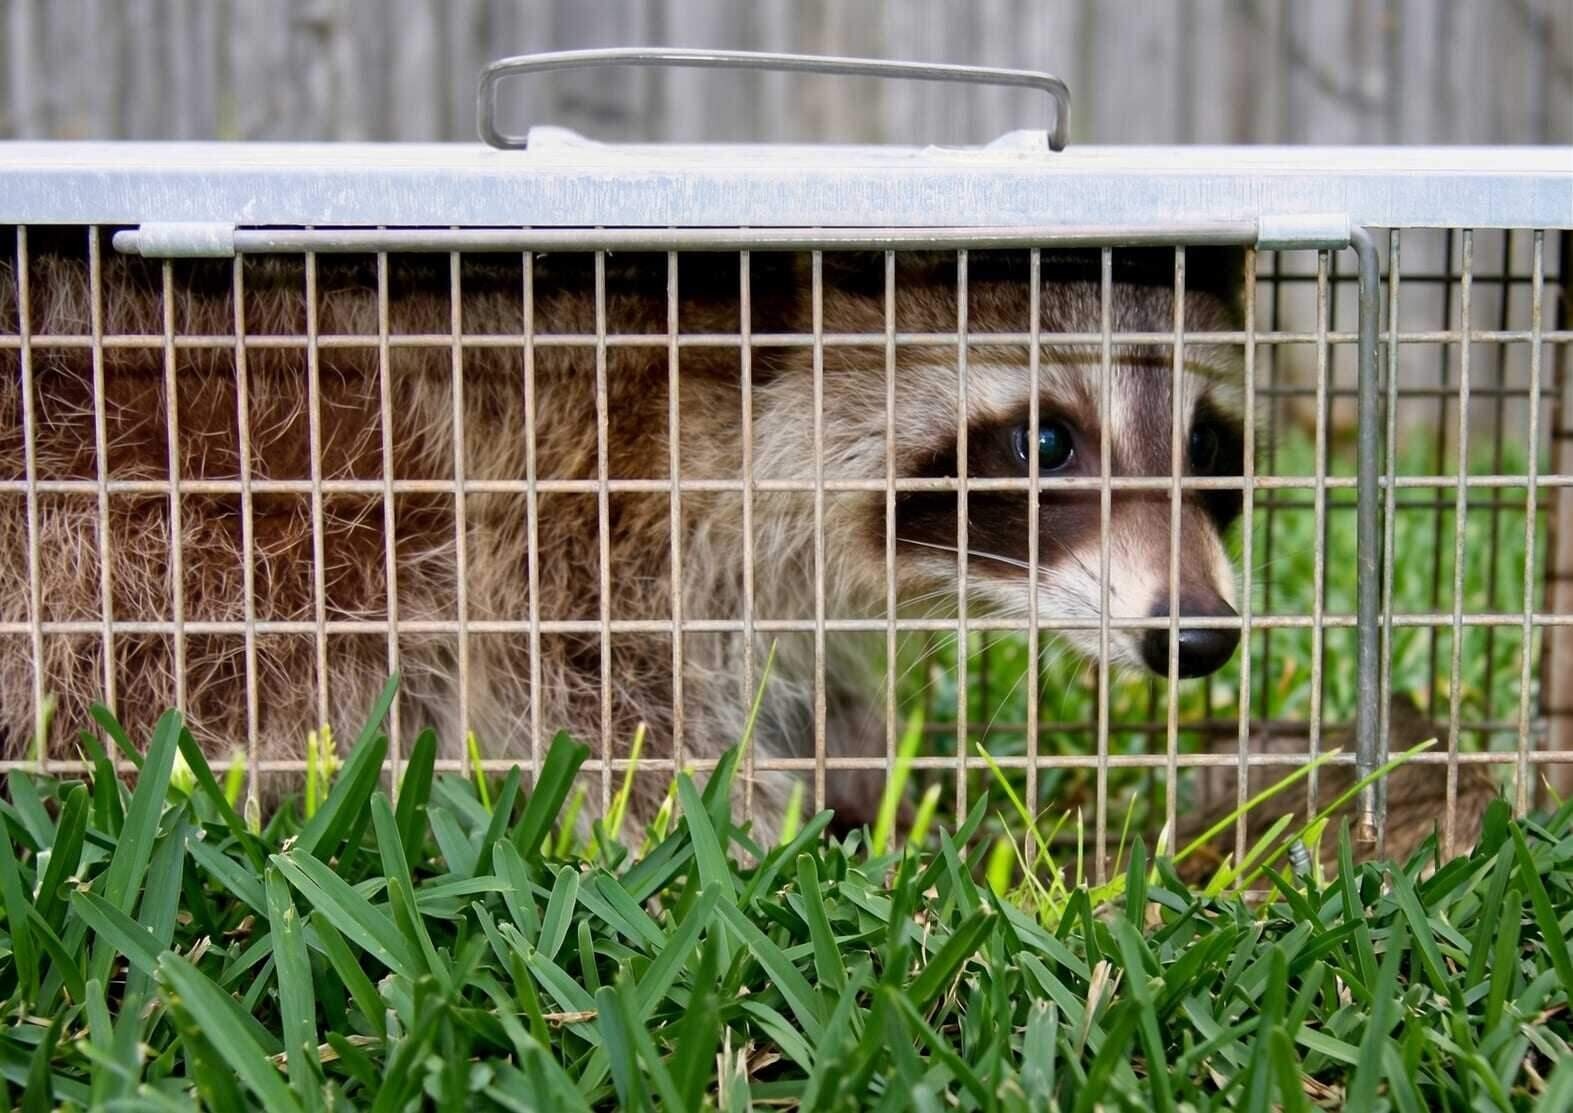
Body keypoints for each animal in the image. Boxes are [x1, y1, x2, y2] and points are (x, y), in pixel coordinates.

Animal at [0, 230, 1245, 841]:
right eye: (1045, 442)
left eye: (1210, 444)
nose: (1197, 636)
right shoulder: (565, 520)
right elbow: (605, 715)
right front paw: (737, 839)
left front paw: (850, 767)